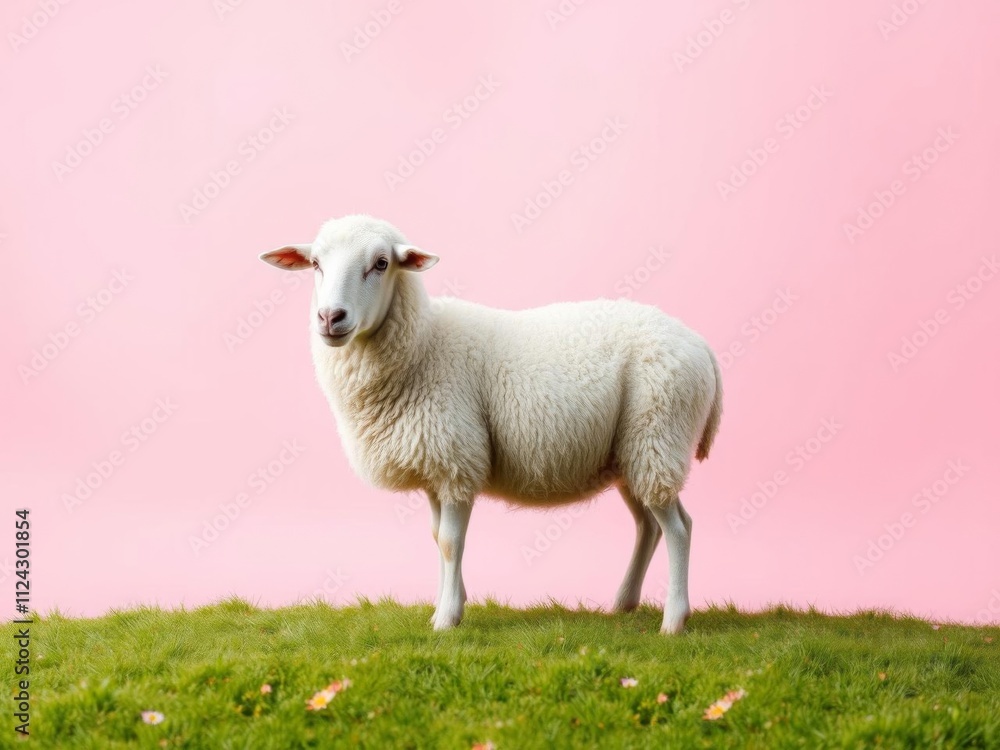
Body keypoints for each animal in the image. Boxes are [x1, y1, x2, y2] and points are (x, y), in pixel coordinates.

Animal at [259, 215, 722, 634]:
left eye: (381, 263)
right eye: (316, 264)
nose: (330, 317)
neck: (423, 344)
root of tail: (700, 343)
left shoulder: (457, 459)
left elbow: (450, 542)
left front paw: (446, 619)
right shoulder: (435, 466)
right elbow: (437, 539)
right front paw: (453, 602)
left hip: (658, 433)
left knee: (678, 529)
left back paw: (673, 621)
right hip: (634, 452)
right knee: (651, 525)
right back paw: (624, 603)